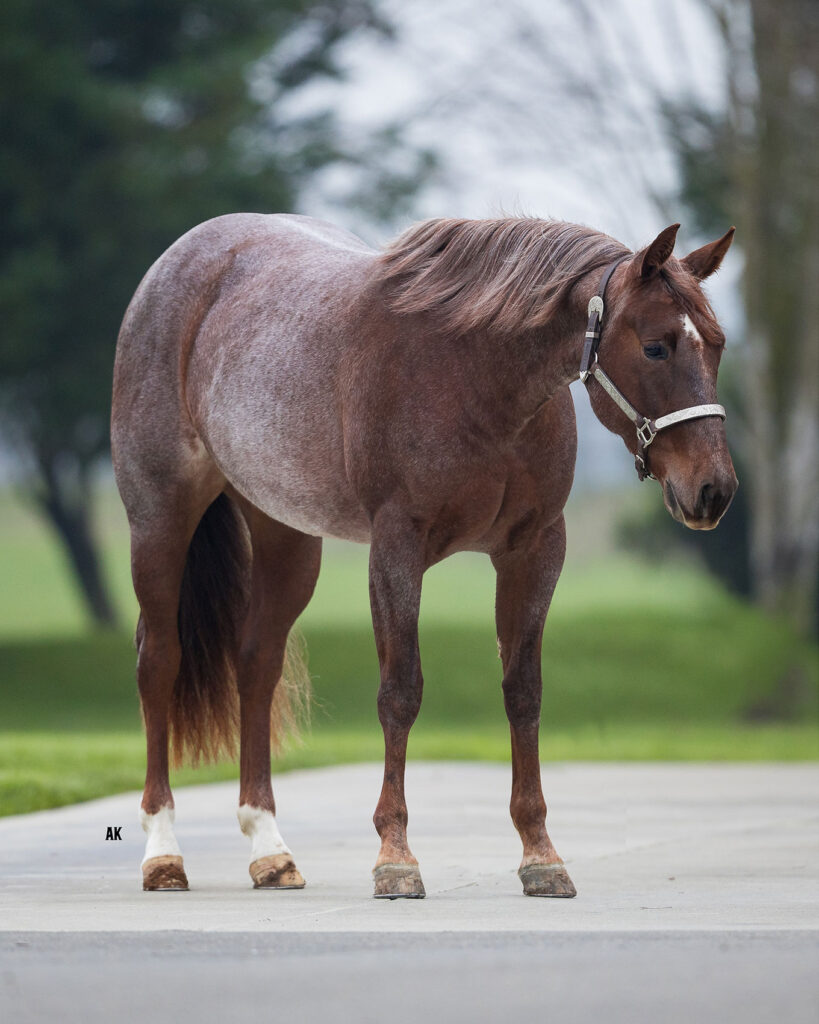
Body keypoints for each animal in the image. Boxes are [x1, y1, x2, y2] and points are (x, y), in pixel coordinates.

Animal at [111, 214, 737, 898]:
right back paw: (162, 852)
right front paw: (395, 857)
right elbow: (401, 691)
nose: (714, 491)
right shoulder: (397, 547)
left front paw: (541, 855)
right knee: (158, 662)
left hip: (286, 536)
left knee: (256, 665)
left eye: (717, 344)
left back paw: (269, 849)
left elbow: (523, 691)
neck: (473, 373)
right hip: (159, 519)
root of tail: (181, 259)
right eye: (655, 347)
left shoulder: (535, 549)